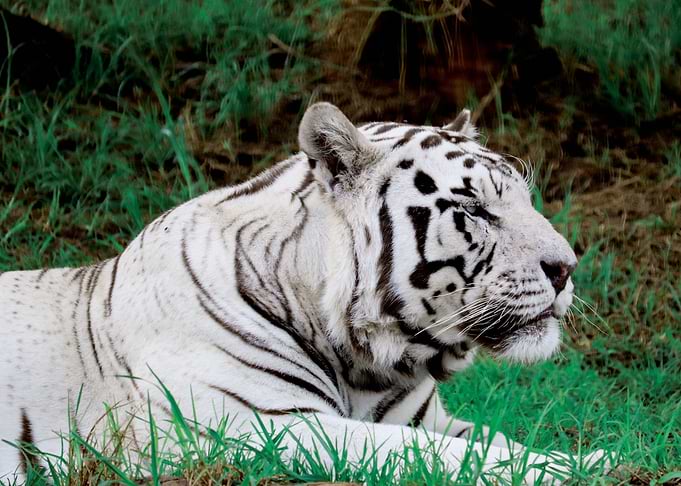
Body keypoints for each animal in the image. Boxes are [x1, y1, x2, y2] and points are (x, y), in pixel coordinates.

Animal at [0, 102, 605, 484]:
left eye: (525, 199)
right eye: (474, 209)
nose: (566, 267)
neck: (370, 361)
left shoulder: (425, 417)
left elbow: (497, 442)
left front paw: (585, 454)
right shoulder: (264, 425)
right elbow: (439, 455)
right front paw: (589, 464)